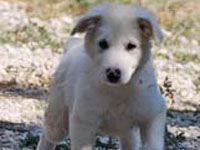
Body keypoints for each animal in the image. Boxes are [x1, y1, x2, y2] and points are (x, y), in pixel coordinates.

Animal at [36, 2, 166, 150]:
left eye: (131, 46)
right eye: (103, 44)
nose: (113, 73)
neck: (117, 91)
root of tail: (72, 47)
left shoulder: (153, 113)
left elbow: (153, 143)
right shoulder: (83, 122)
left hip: (128, 132)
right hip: (58, 119)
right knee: (48, 134)